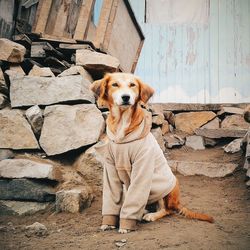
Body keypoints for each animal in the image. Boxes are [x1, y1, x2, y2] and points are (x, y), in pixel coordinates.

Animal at [91, 73, 214, 233]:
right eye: (115, 84)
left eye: (132, 85)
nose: (126, 97)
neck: (122, 127)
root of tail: (177, 202)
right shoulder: (111, 169)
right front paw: (108, 222)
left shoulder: (142, 167)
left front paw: (125, 226)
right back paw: (144, 211)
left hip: (163, 189)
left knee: (167, 210)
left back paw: (151, 215)